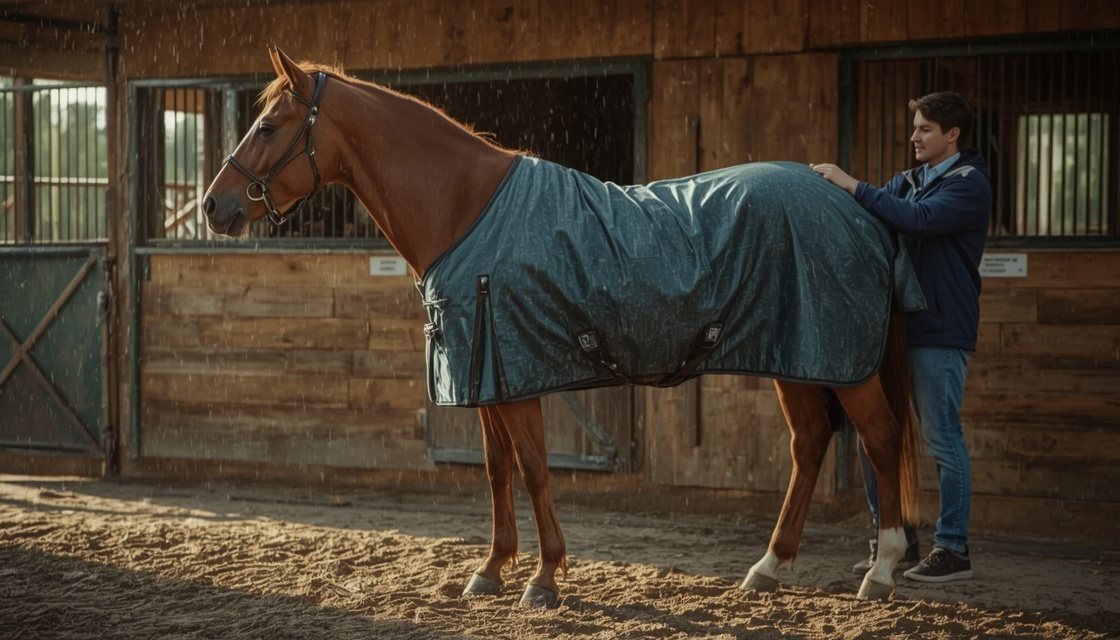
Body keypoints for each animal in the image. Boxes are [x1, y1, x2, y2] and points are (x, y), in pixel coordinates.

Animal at [202, 47, 920, 608]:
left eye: (267, 126)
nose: (214, 206)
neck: (467, 209)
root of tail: (854, 202)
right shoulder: (485, 377)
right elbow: (497, 471)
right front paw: (491, 570)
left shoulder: (516, 373)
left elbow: (535, 470)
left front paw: (544, 579)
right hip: (796, 358)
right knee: (810, 444)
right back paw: (768, 567)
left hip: (839, 364)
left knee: (879, 439)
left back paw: (881, 572)